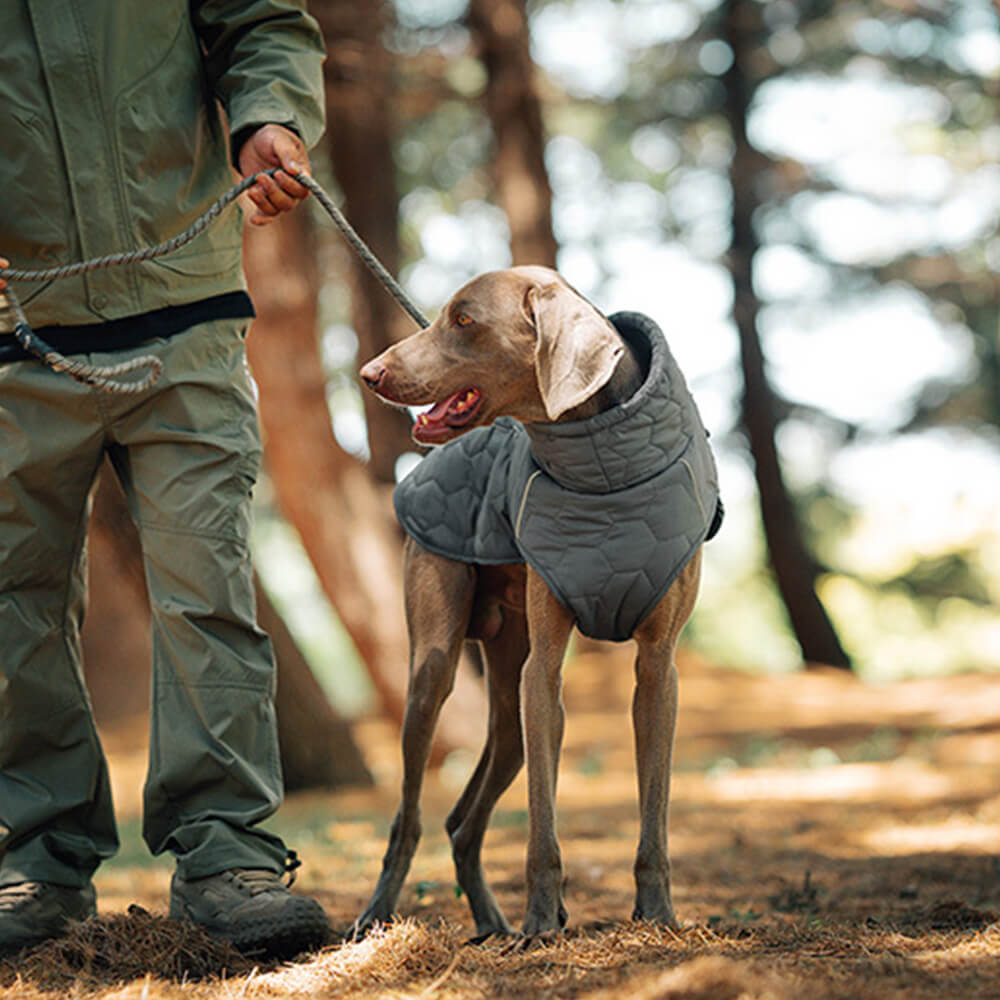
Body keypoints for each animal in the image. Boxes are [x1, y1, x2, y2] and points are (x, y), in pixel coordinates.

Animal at [352, 264, 720, 936]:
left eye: (464, 319)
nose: (369, 373)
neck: (602, 473)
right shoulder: (544, 668)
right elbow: (542, 828)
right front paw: (542, 923)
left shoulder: (659, 670)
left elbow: (654, 814)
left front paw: (657, 915)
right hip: (436, 671)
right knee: (409, 818)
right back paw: (379, 916)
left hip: (509, 701)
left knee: (462, 822)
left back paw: (491, 923)